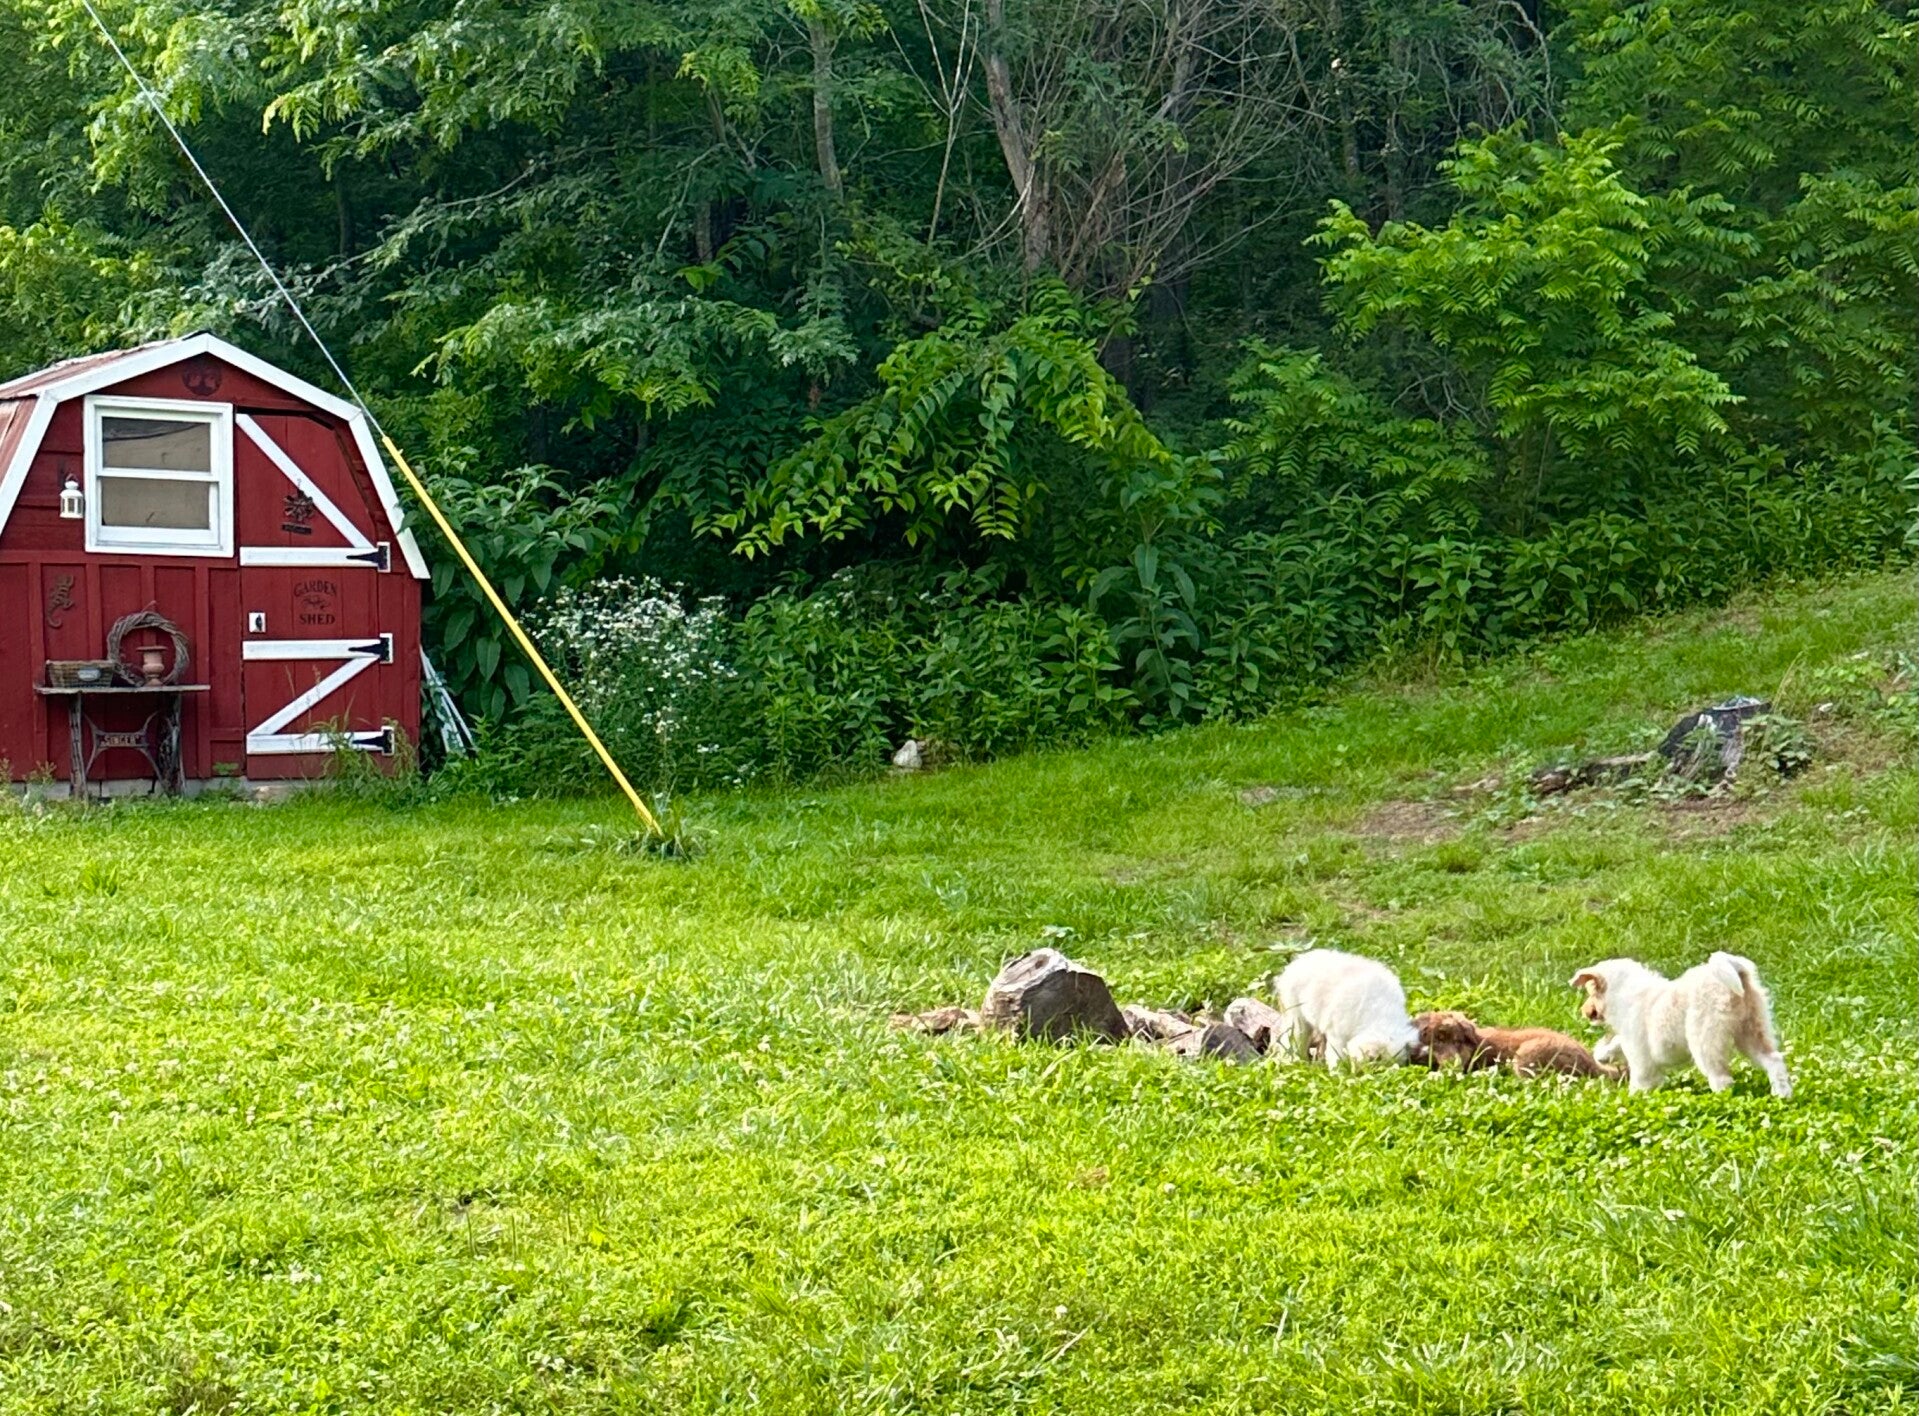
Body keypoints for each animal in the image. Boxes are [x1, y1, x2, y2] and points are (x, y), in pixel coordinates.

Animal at [1571, 952, 1791, 1096]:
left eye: (1590, 992)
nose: (1583, 1011)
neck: (1624, 995)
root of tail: (1736, 971)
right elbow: (1616, 1043)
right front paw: (1603, 1054)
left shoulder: (1638, 1052)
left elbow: (1639, 1080)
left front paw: (1633, 1098)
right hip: (1751, 1032)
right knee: (1774, 1061)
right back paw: (1782, 1095)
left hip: (1704, 1040)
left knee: (1722, 1077)